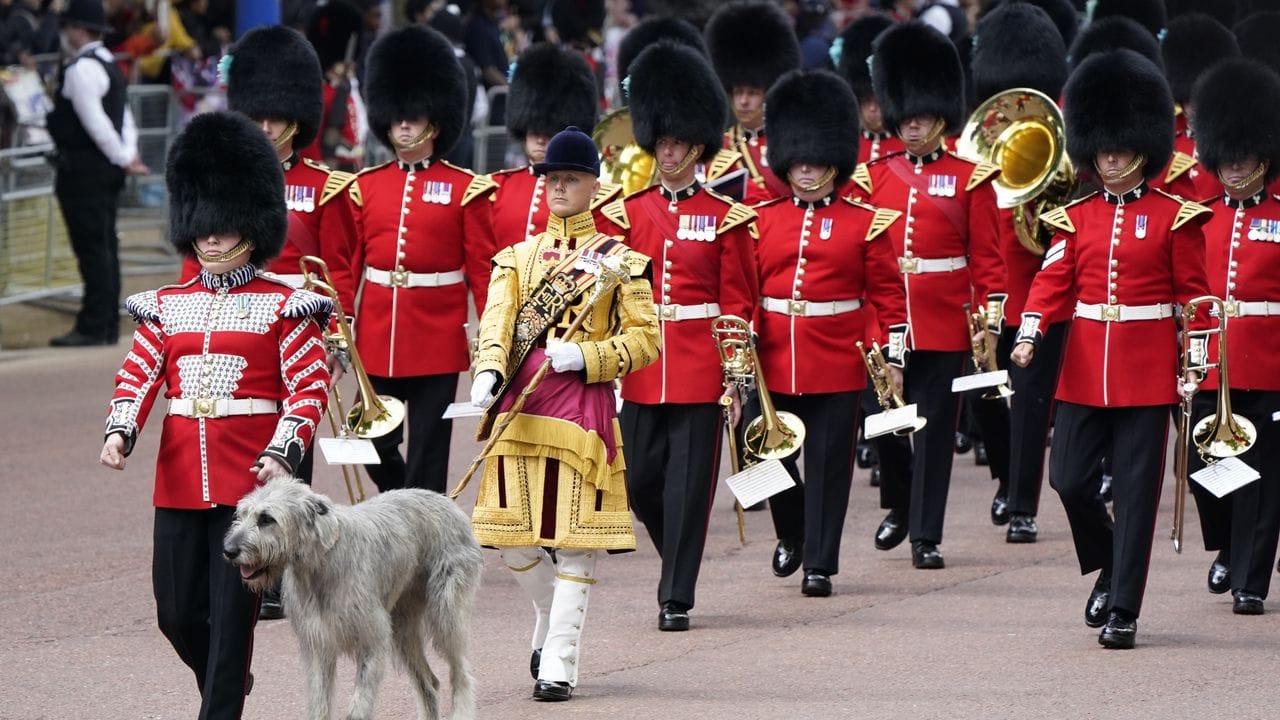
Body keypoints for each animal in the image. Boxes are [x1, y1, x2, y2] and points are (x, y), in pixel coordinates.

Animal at [222, 476, 481, 717]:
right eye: (241, 514)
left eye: (266, 518)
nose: (228, 550)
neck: (320, 561)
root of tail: (447, 501)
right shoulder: (318, 645)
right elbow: (319, 704)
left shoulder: (371, 643)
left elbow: (357, 707)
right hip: (402, 627)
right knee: (429, 682)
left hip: (445, 614)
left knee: (460, 673)